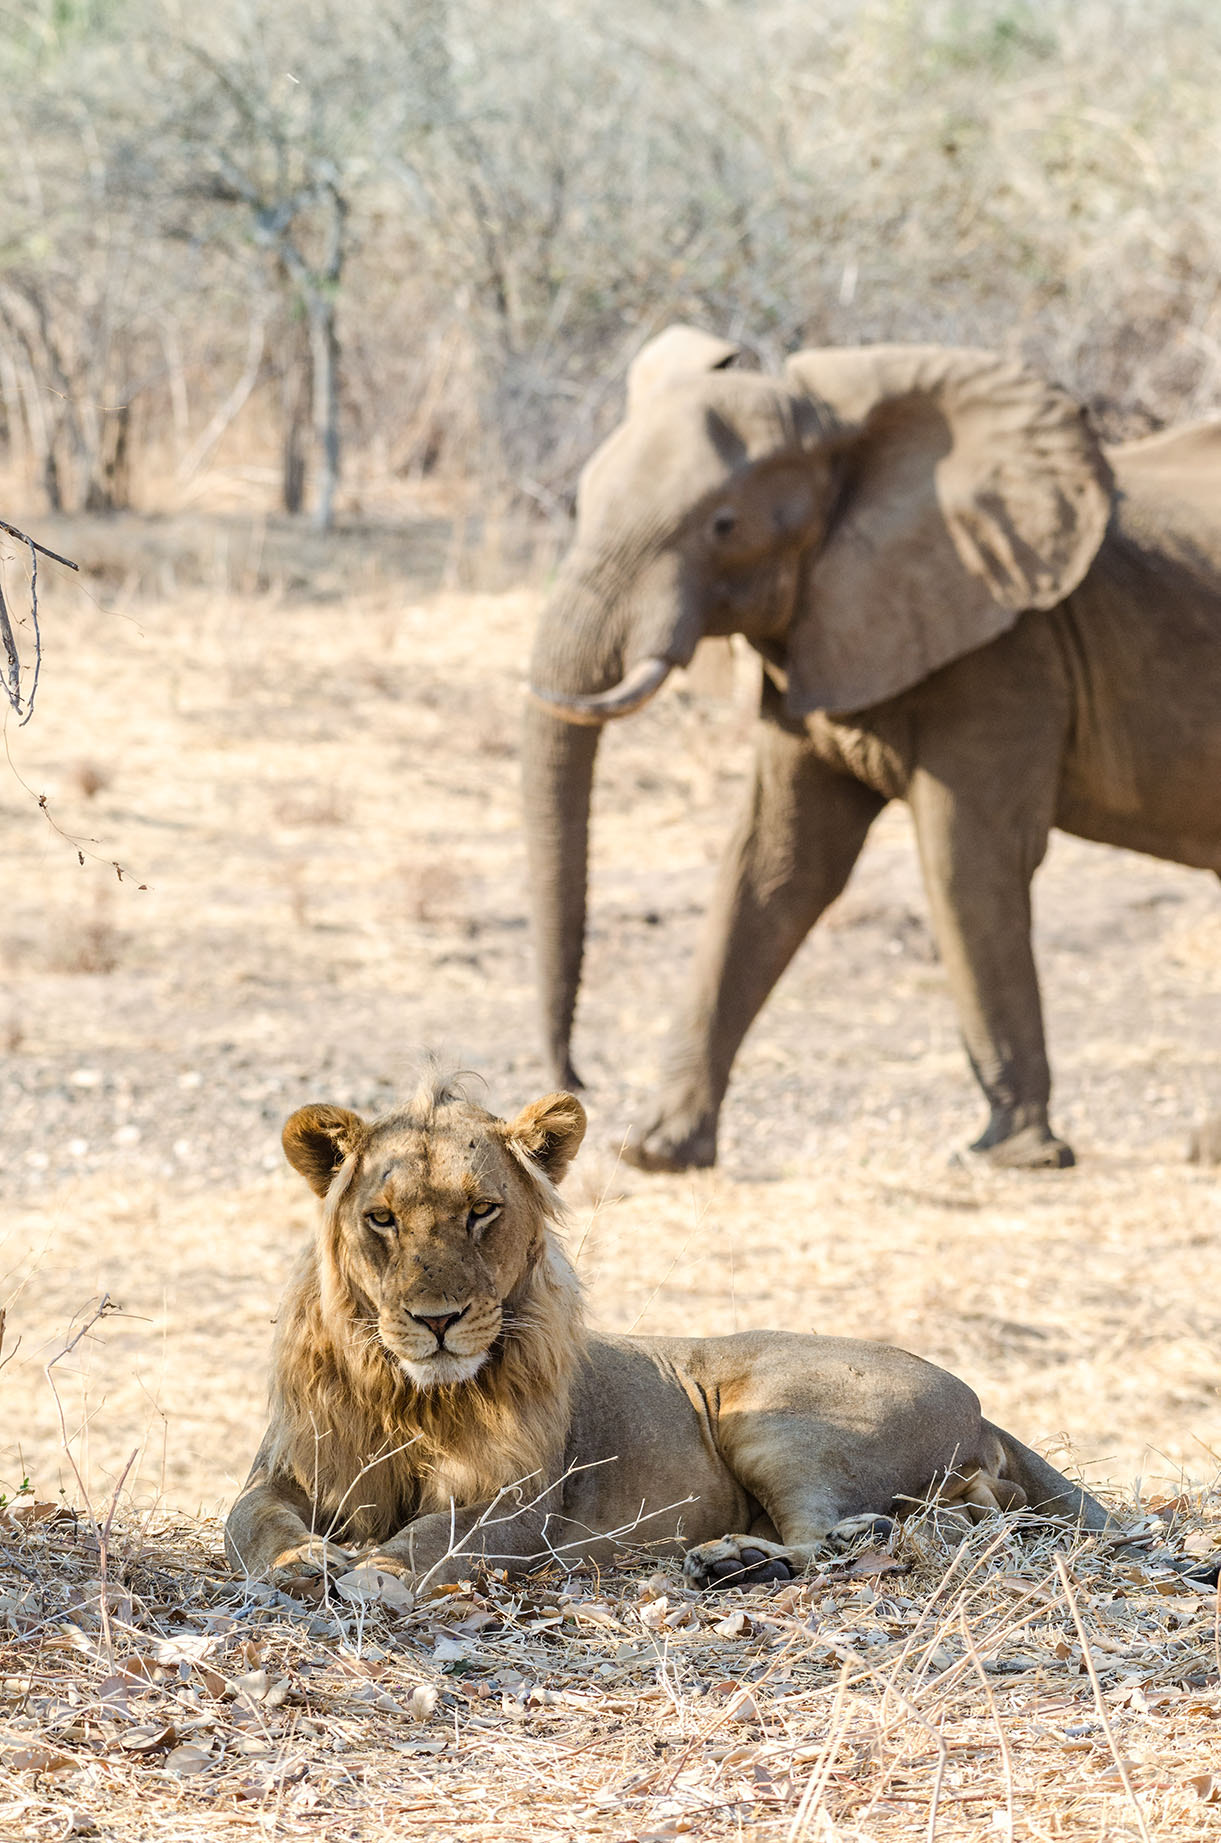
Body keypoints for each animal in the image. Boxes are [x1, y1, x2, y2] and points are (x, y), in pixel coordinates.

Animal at [225, 1076, 1110, 1592]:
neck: (410, 1396)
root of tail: (980, 1400)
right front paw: (302, 1560)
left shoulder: (519, 1504)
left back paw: (740, 1560)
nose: (435, 1321)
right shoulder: (283, 1472)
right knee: (966, 1513)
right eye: (381, 1217)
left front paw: (372, 1572)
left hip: (776, 1420)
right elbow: (251, 1524)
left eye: (482, 1210)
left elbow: (435, 1537)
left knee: (836, 1537)